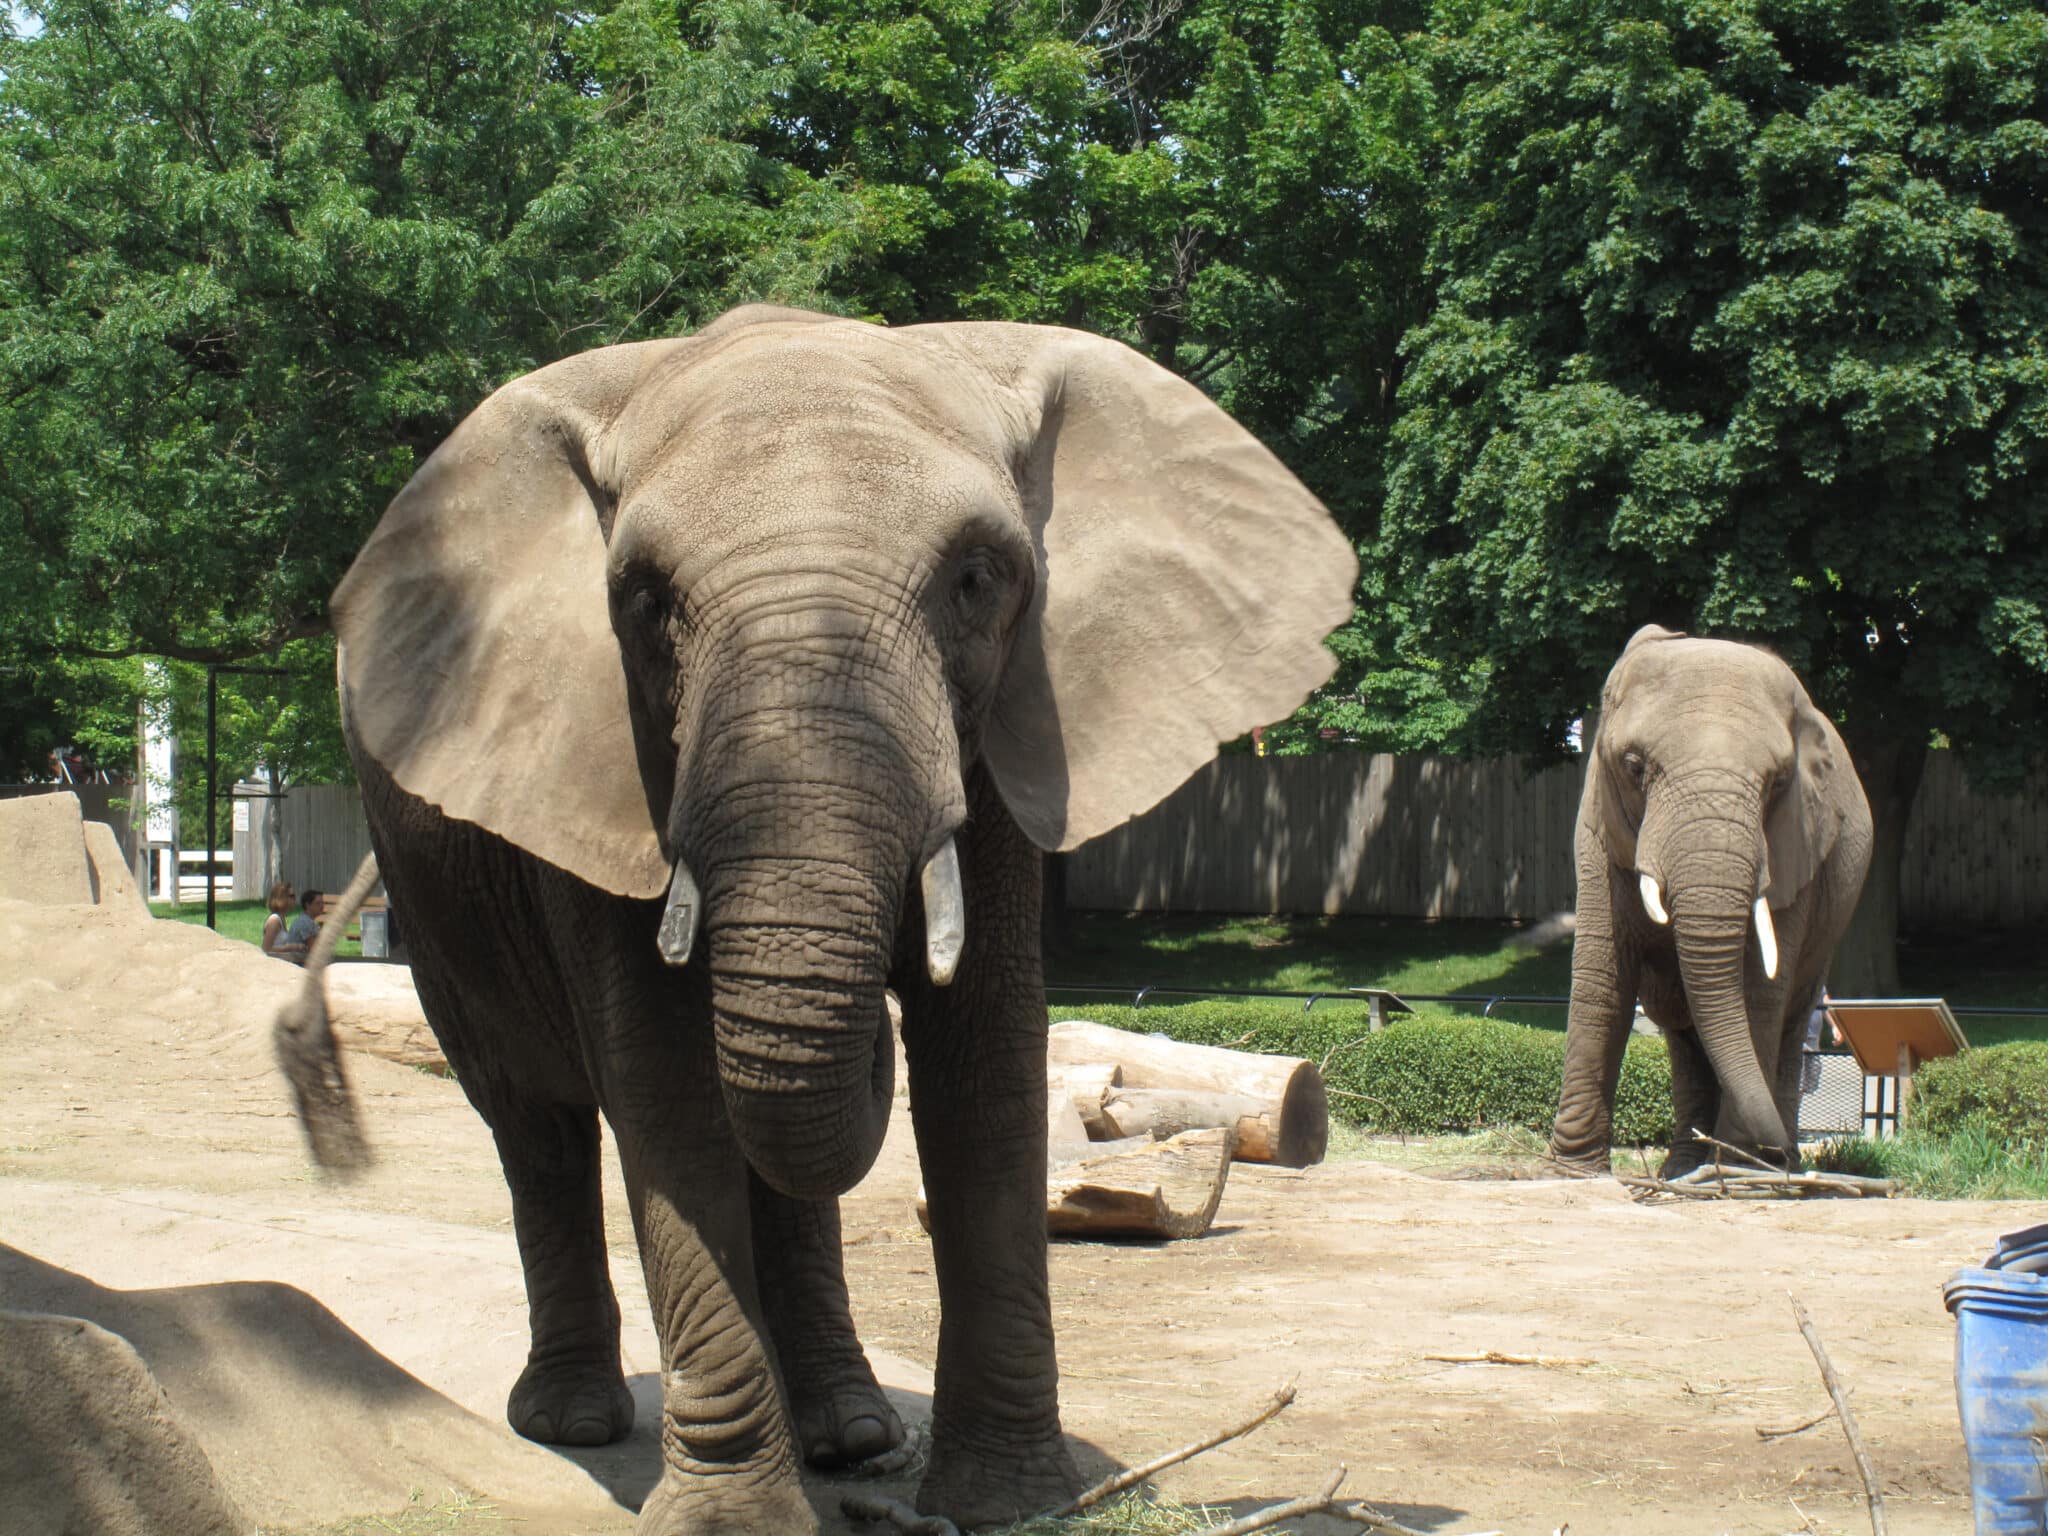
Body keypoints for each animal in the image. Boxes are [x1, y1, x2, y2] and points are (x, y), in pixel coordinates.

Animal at [276, 307, 1359, 1531]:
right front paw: (729, 1522)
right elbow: (663, 1088)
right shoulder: (600, 758)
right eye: (643, 600)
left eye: (977, 579)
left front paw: (1009, 1505)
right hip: (432, 894)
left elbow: (984, 1066)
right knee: (533, 1120)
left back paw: (850, 1435)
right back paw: (573, 1423)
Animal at [1548, 626, 1875, 1179]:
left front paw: (1742, 1167)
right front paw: (1569, 1173)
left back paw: (1739, 1166)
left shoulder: (1795, 846)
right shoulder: (1597, 828)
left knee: (1787, 1020)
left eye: (1779, 782)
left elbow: (1759, 990)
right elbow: (1602, 980)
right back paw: (1689, 1168)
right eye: (1634, 767)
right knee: (1687, 1037)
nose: (1777, 1153)